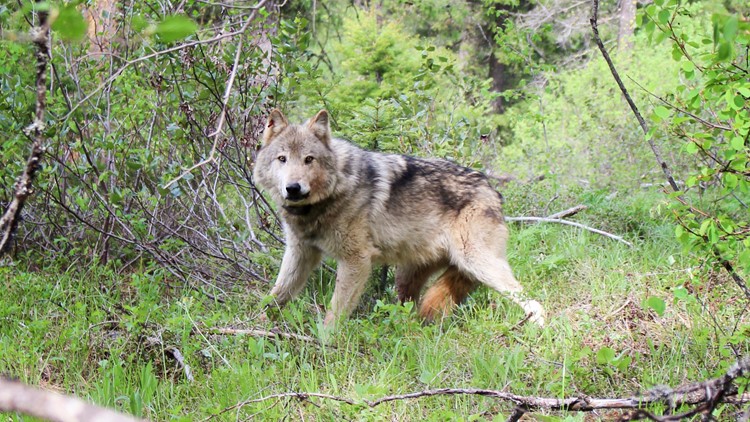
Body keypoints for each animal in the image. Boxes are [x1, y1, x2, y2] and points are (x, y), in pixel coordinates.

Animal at [253, 109, 545, 327]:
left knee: (532, 300)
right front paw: (254, 327)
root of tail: (492, 190)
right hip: (408, 278)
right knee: (411, 312)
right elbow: (275, 296)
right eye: (282, 159)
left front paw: (326, 344)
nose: (293, 188)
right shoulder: (300, 253)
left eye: (309, 159)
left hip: (478, 264)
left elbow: (334, 314)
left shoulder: (356, 261)